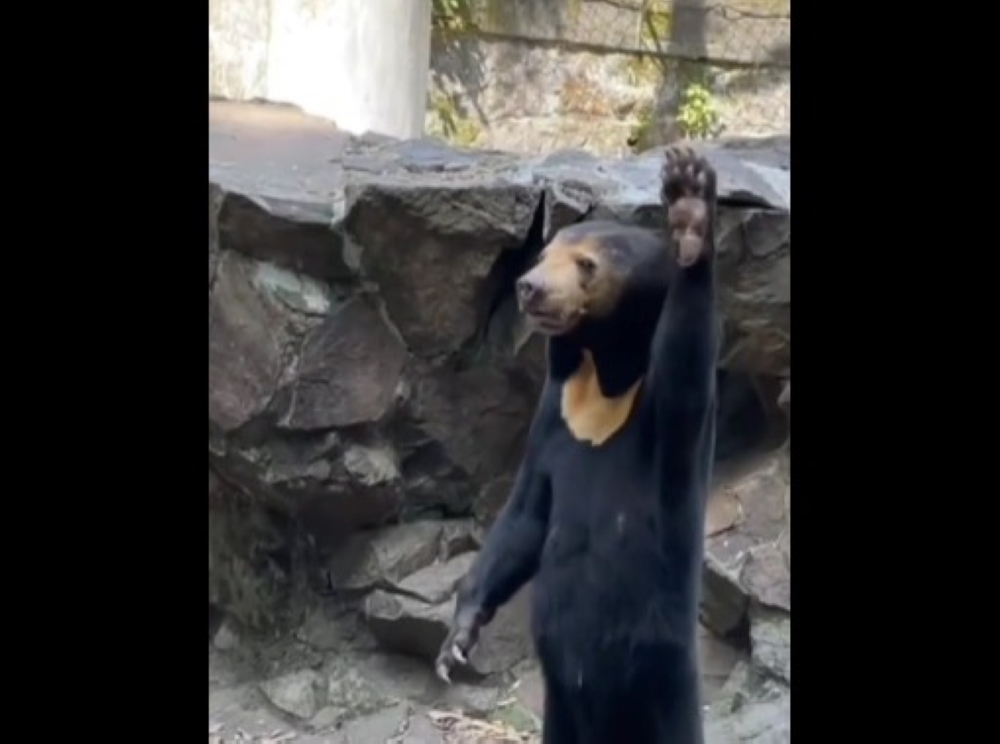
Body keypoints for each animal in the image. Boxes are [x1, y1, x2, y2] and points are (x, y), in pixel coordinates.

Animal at [435, 146, 720, 744]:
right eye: (544, 254)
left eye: (586, 265)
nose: (528, 287)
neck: (602, 380)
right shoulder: (553, 416)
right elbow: (523, 516)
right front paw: (456, 643)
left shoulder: (667, 415)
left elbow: (686, 360)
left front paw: (689, 208)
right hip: (560, 705)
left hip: (665, 683)